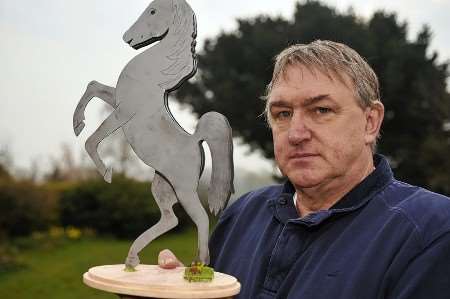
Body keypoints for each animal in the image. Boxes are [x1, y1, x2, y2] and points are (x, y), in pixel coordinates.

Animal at [72, 0, 234, 268]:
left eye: (153, 11)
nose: (126, 38)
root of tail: (196, 141)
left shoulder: (123, 112)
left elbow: (92, 140)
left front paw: (106, 173)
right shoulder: (117, 100)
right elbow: (93, 86)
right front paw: (77, 123)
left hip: (183, 190)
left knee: (200, 218)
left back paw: (198, 264)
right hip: (161, 185)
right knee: (170, 219)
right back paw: (131, 259)